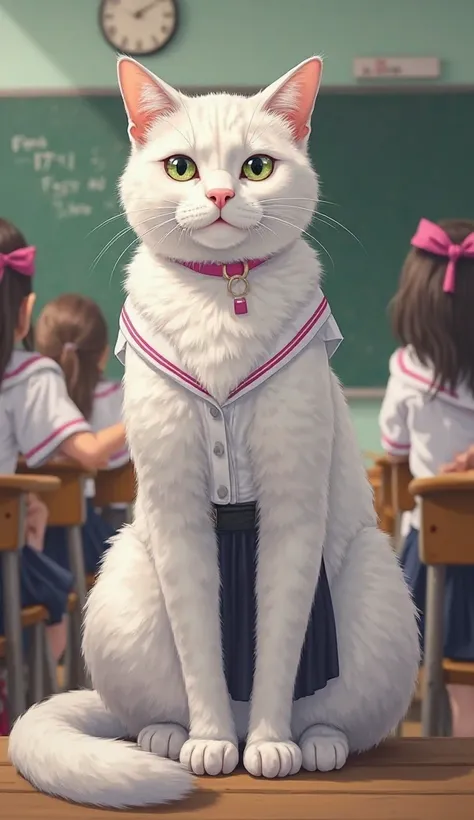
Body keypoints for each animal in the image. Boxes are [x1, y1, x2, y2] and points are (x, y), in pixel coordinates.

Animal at [8, 56, 418, 808]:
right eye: (181, 167)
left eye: (257, 167)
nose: (224, 192)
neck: (223, 297)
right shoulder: (177, 511)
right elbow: (201, 644)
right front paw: (210, 745)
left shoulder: (293, 508)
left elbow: (278, 647)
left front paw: (268, 747)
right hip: (124, 584)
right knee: (142, 710)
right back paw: (168, 737)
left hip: (376, 588)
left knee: (346, 719)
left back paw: (316, 745)